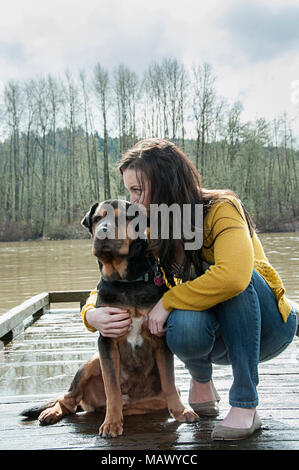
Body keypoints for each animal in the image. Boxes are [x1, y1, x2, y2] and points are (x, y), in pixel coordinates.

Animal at [22, 199, 200, 436]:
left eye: (122, 218)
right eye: (97, 219)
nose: (103, 232)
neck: (127, 282)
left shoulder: (159, 337)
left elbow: (169, 381)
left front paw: (181, 411)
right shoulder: (106, 340)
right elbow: (112, 387)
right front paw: (111, 423)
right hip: (90, 363)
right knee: (68, 399)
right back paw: (52, 412)